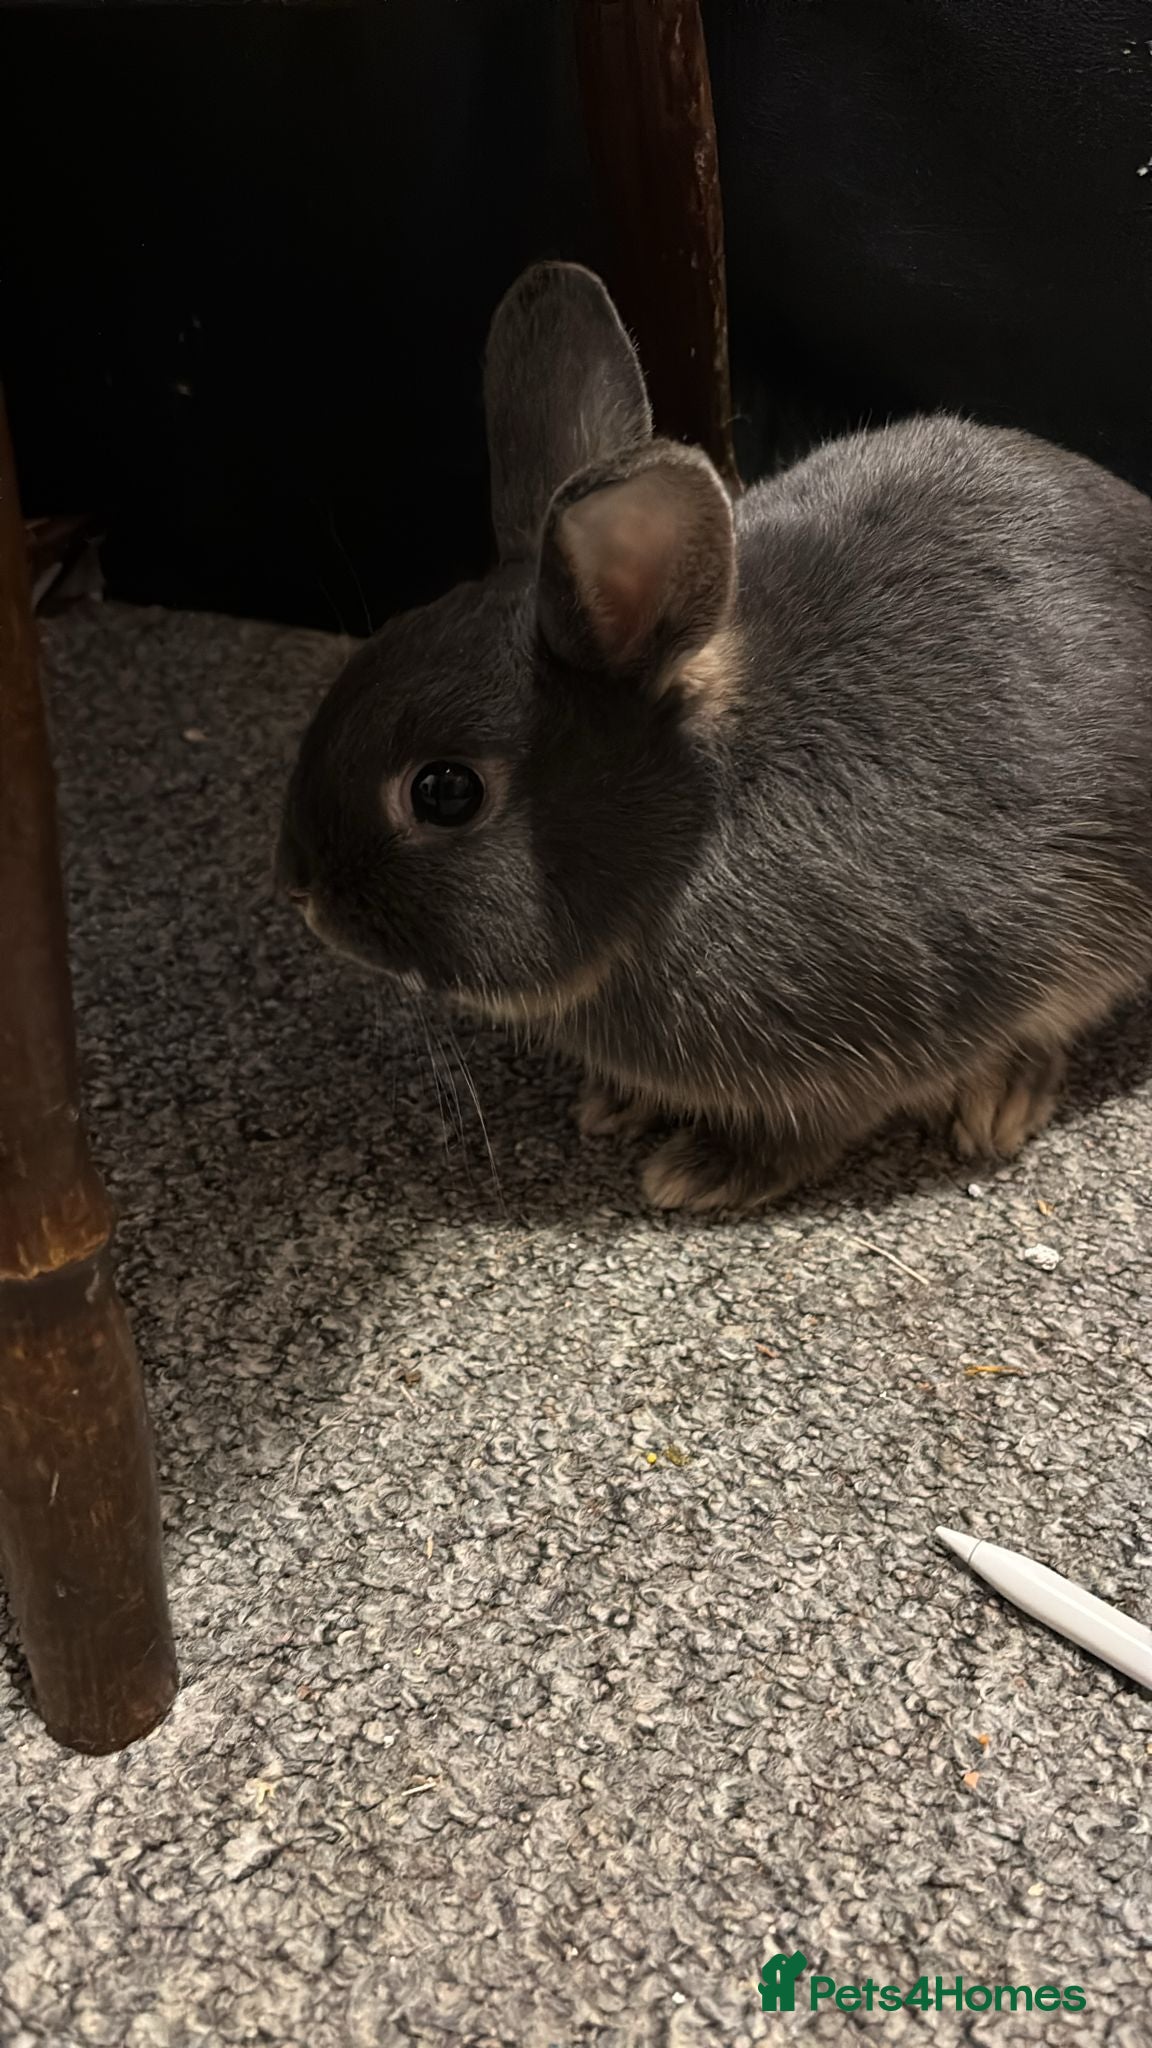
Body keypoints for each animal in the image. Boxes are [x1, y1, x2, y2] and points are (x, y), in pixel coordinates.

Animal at [278, 260, 1152, 1212]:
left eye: (445, 792)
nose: (302, 894)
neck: (686, 838)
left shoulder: (868, 1046)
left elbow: (807, 1133)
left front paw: (697, 1172)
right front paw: (614, 1104)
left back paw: (1000, 1103)